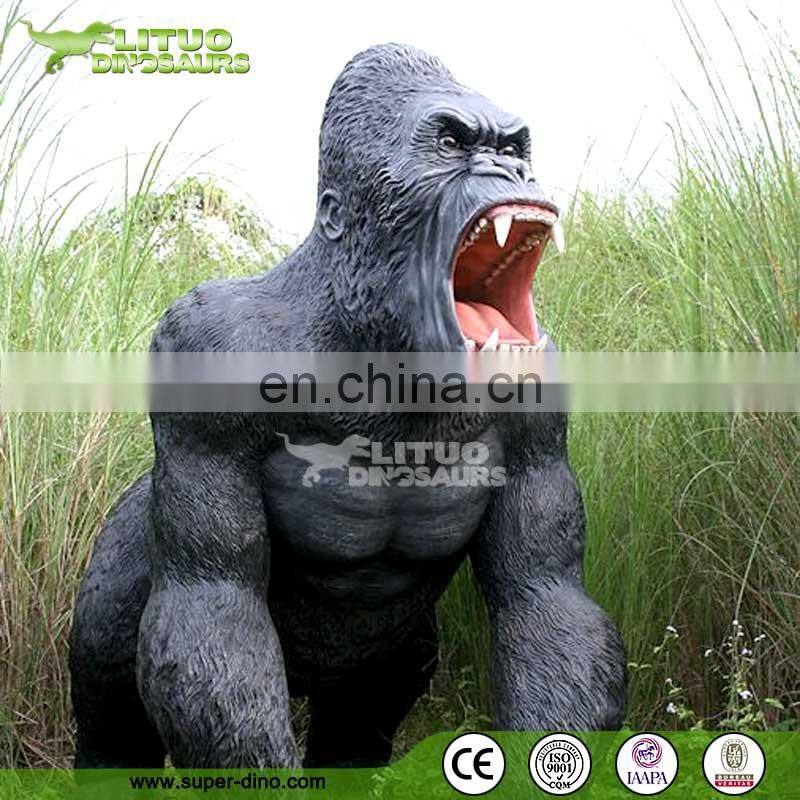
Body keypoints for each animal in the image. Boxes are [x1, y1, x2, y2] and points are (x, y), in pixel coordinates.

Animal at [69, 43, 626, 769]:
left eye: (513, 149)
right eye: (451, 143)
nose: (512, 171)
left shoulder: (542, 401)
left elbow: (544, 596)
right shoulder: (203, 341)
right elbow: (214, 600)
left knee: (360, 724)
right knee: (112, 700)